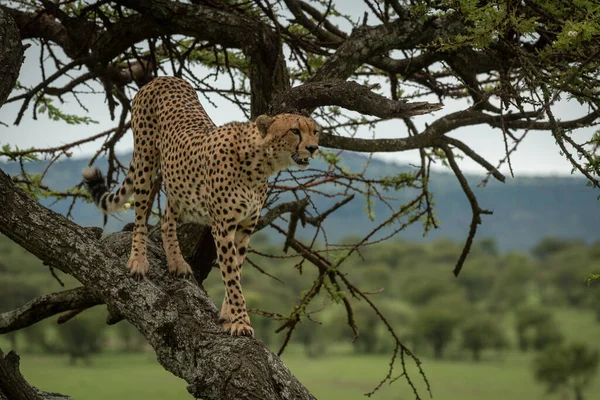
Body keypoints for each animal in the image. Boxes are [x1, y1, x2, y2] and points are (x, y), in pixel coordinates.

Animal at [83, 76, 324, 336]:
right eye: (295, 131)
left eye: (315, 132)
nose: (313, 147)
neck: (260, 164)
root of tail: (164, 78)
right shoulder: (223, 226)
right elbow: (231, 274)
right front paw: (240, 321)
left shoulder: (245, 227)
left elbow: (236, 270)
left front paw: (229, 315)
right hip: (146, 160)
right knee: (140, 216)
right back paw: (138, 261)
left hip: (178, 183)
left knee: (167, 219)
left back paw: (177, 262)